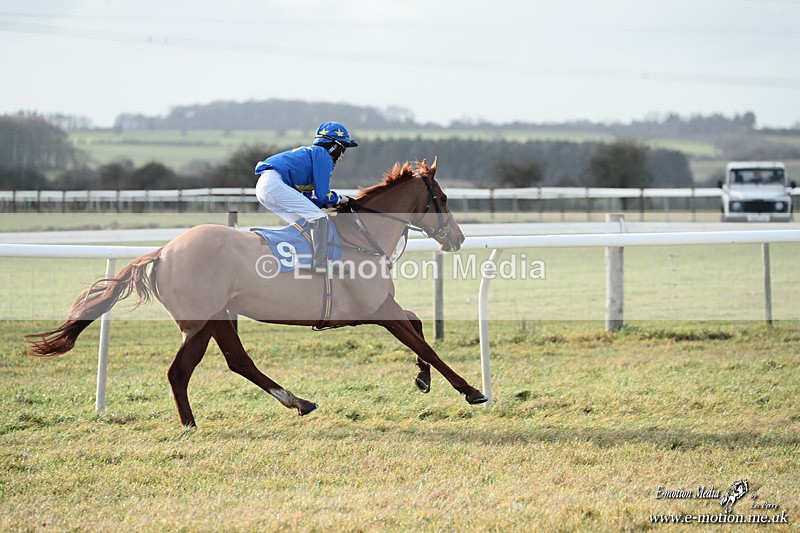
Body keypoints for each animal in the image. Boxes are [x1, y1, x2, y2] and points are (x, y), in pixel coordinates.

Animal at [26, 159, 488, 427]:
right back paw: (192, 424)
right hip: (200, 321)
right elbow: (424, 343)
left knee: (236, 361)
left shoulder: (381, 306)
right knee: (182, 371)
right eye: (442, 197)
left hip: (218, 317)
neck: (364, 236)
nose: (459, 237)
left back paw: (297, 402)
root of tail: (162, 251)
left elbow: (419, 326)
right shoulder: (377, 308)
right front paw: (471, 390)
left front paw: (423, 379)